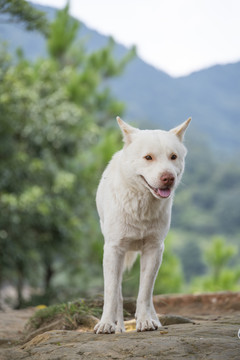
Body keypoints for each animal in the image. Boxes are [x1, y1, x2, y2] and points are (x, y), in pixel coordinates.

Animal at [94, 116, 190, 334]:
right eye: (148, 157)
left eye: (173, 157)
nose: (168, 178)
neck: (142, 207)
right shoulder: (113, 249)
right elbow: (111, 293)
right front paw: (106, 324)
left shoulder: (154, 249)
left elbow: (145, 293)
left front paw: (146, 322)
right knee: (119, 295)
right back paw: (118, 327)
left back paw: (154, 320)